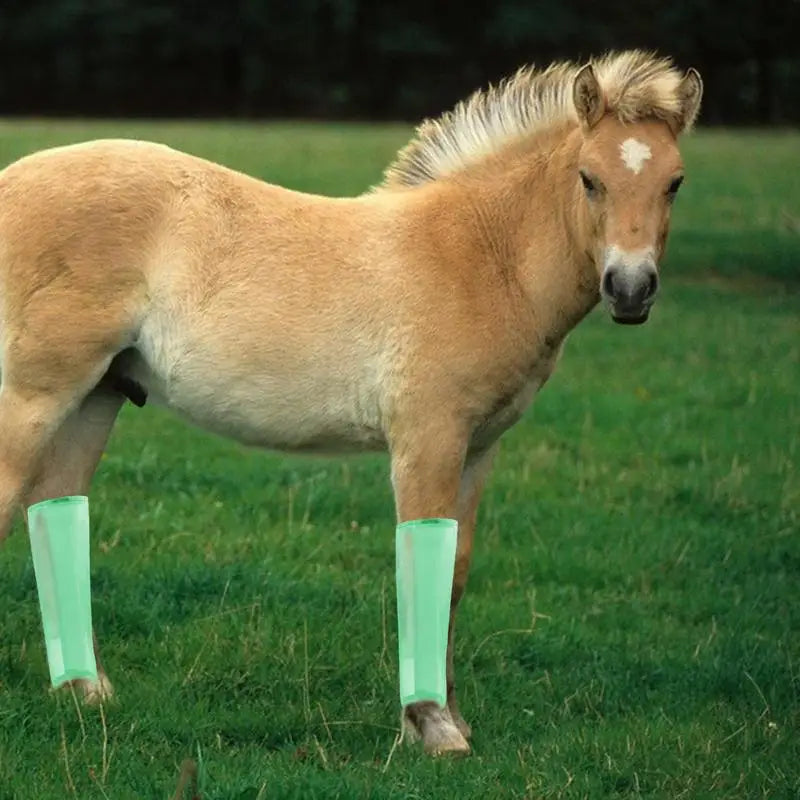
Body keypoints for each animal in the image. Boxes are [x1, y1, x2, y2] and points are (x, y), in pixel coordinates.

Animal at [0, 50, 702, 755]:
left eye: (675, 182)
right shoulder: (427, 439)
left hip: (96, 397)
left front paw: (451, 718)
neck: (480, 254)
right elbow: (422, 556)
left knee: (54, 510)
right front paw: (432, 727)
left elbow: (454, 570)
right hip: (35, 397)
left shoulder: (479, 448)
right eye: (589, 179)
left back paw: (85, 691)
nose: (630, 290)